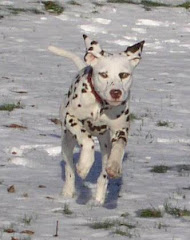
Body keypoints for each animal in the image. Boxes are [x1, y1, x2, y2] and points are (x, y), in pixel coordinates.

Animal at [48, 35, 145, 204]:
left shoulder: (121, 130)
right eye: (103, 74)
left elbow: (119, 147)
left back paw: (99, 199)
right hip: (67, 141)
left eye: (124, 75)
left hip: (105, 145)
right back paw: (67, 192)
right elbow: (86, 140)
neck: (100, 106)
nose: (115, 92)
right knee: (69, 170)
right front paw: (85, 164)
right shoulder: (71, 117)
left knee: (102, 176)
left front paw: (114, 166)